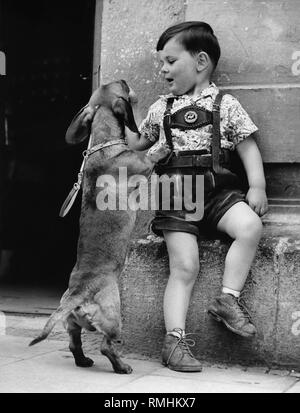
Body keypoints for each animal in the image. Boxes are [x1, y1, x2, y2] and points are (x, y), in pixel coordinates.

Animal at [29, 79, 171, 372]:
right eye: (122, 85)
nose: (126, 81)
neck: (105, 144)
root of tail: (78, 294)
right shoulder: (142, 166)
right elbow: (150, 157)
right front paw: (161, 146)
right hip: (114, 317)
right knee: (108, 346)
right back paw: (122, 367)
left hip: (72, 323)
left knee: (74, 343)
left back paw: (84, 360)